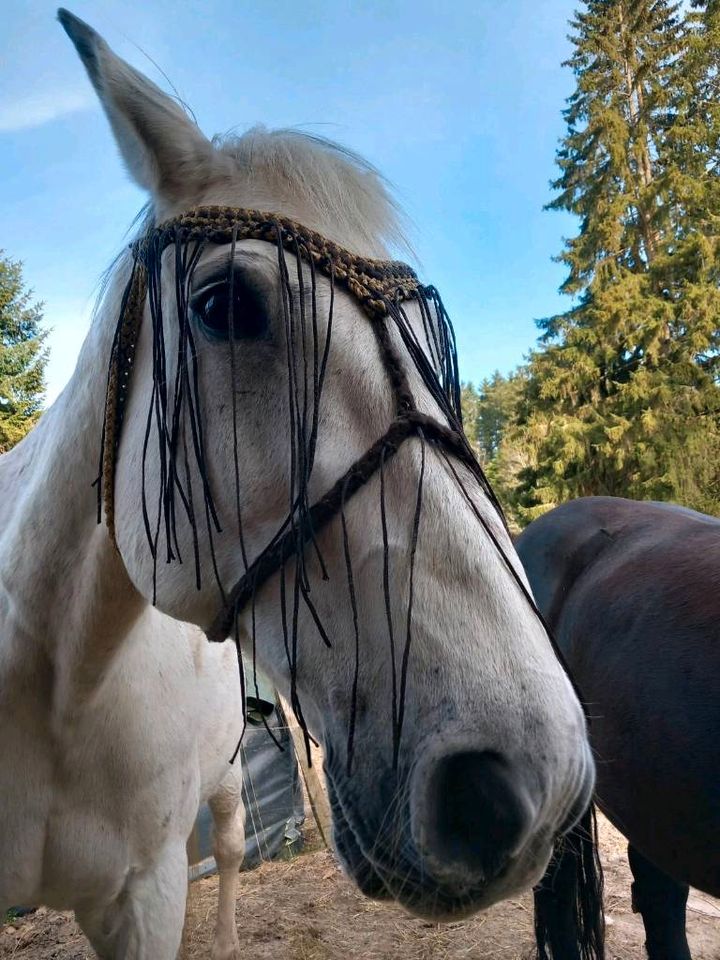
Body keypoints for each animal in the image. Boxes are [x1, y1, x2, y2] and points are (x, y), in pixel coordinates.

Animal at [0, 9, 596, 960]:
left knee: (232, 853)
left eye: (433, 339)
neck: (55, 680)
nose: (539, 785)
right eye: (225, 307)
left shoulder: (148, 891)